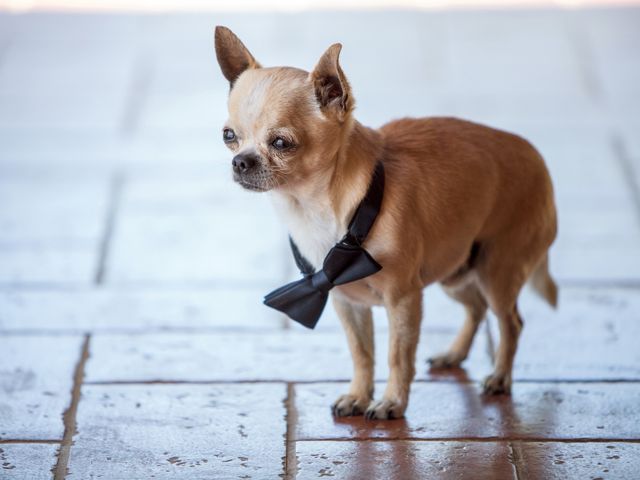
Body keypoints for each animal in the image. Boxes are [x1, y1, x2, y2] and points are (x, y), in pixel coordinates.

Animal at [214, 26, 556, 418]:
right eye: (228, 136)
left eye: (281, 143)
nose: (240, 161)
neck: (314, 207)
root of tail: (536, 158)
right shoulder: (347, 302)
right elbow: (362, 353)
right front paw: (358, 395)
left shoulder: (403, 299)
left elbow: (397, 355)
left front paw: (392, 402)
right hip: (456, 269)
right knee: (476, 307)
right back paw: (454, 354)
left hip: (496, 271)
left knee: (509, 321)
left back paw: (500, 377)